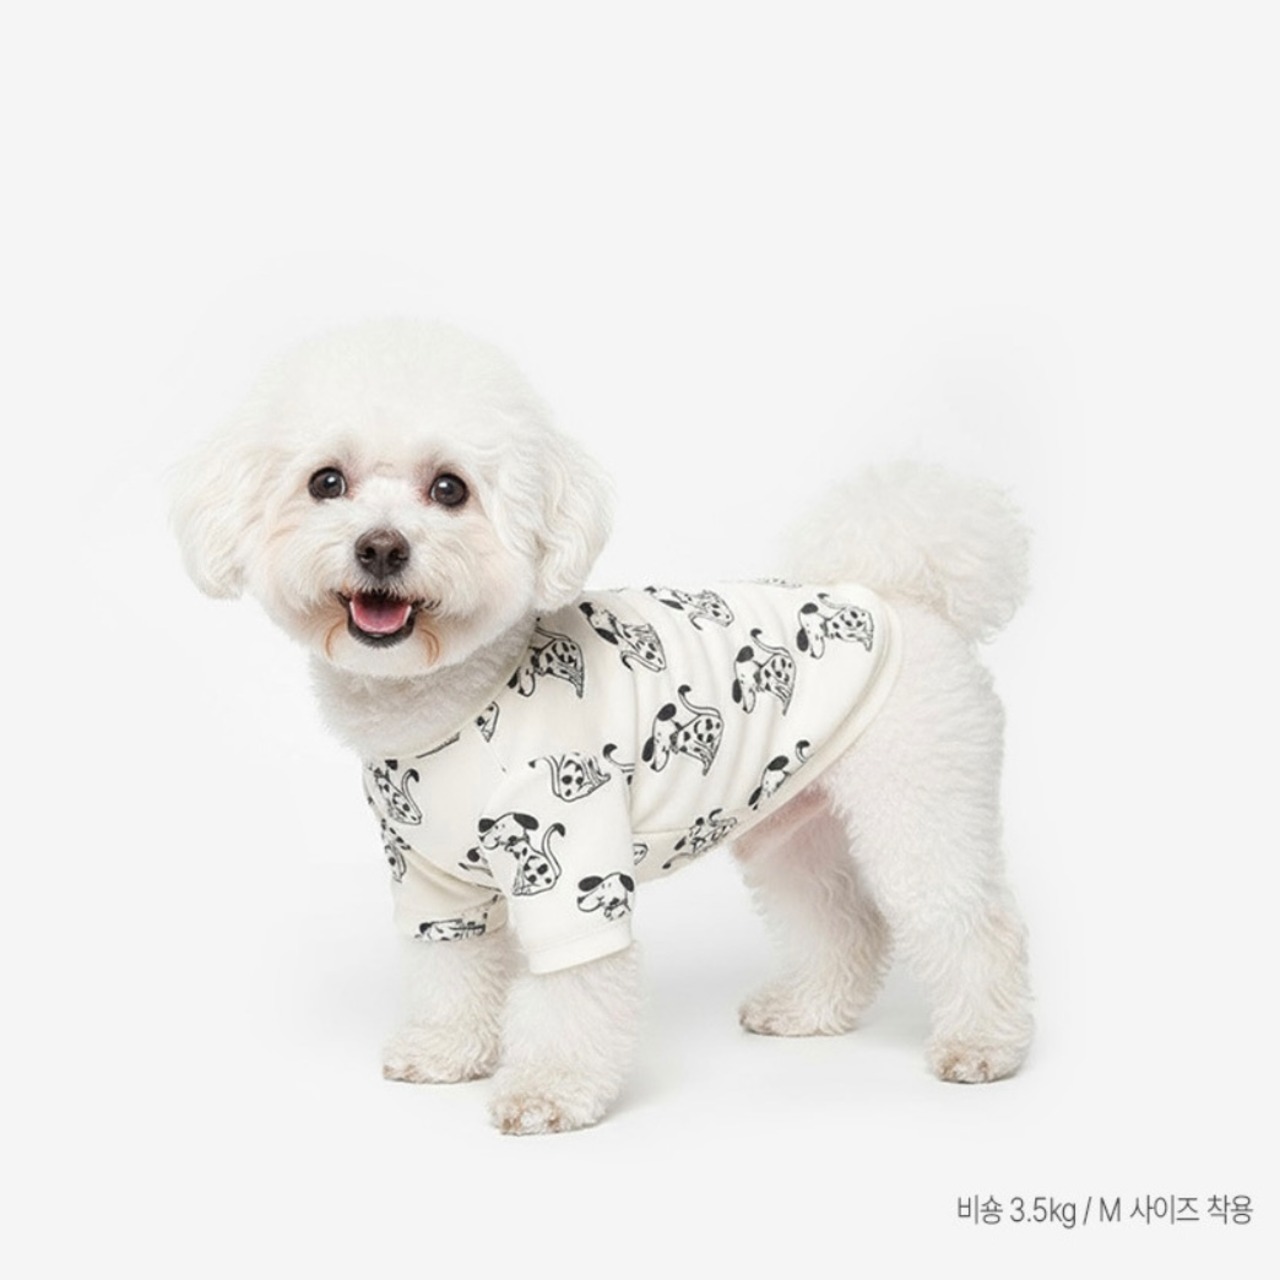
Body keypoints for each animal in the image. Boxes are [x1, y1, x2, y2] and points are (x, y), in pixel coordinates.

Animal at [172, 319, 1034, 1134]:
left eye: (449, 488)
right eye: (326, 482)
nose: (381, 547)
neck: (461, 695)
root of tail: (898, 594)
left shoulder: (574, 867)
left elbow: (572, 991)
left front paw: (547, 1093)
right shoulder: (429, 880)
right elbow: (450, 971)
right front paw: (445, 1052)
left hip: (921, 802)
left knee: (970, 920)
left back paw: (984, 1045)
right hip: (793, 826)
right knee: (839, 919)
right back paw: (808, 1010)